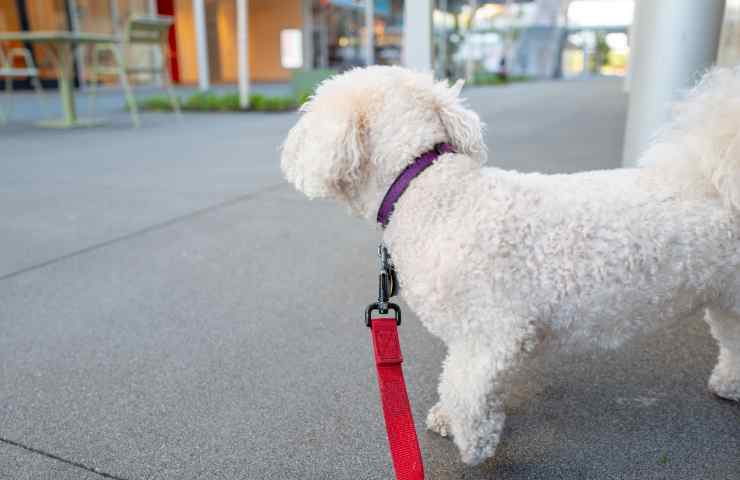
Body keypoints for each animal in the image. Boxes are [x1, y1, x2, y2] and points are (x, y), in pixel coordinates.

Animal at [278, 66, 740, 464]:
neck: (428, 188)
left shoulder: (493, 331)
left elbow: (465, 388)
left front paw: (473, 444)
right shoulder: (475, 339)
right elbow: (469, 383)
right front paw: (453, 419)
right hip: (727, 301)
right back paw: (729, 384)